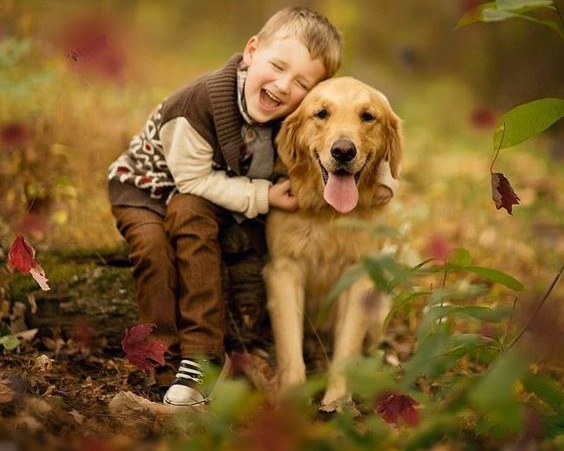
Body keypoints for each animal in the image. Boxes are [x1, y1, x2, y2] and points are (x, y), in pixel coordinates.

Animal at [262, 76, 404, 412]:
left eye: (368, 116)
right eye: (321, 113)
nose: (343, 151)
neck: (329, 214)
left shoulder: (359, 277)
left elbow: (347, 347)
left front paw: (338, 402)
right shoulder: (284, 270)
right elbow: (290, 346)